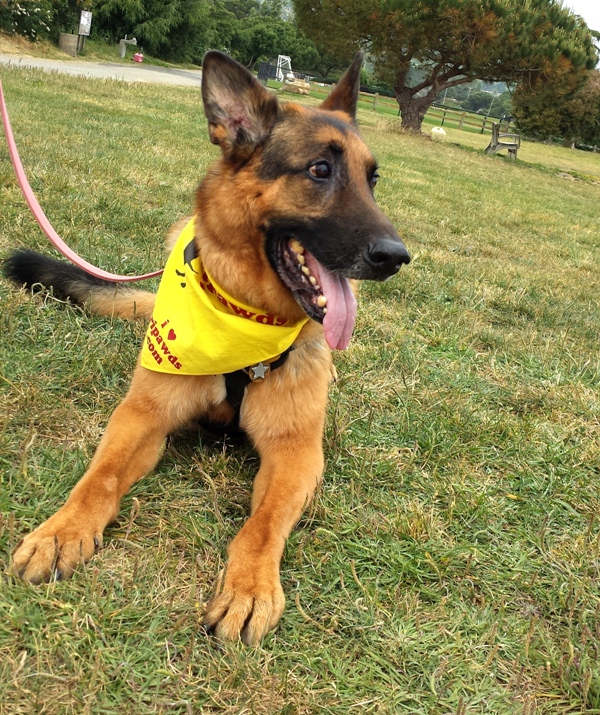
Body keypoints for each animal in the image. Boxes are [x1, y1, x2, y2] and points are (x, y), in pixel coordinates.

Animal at [3, 50, 408, 644]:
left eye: (372, 179)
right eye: (319, 170)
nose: (397, 257)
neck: (243, 319)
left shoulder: (296, 454)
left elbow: (262, 524)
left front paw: (249, 588)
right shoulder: (140, 417)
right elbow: (100, 478)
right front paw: (62, 531)